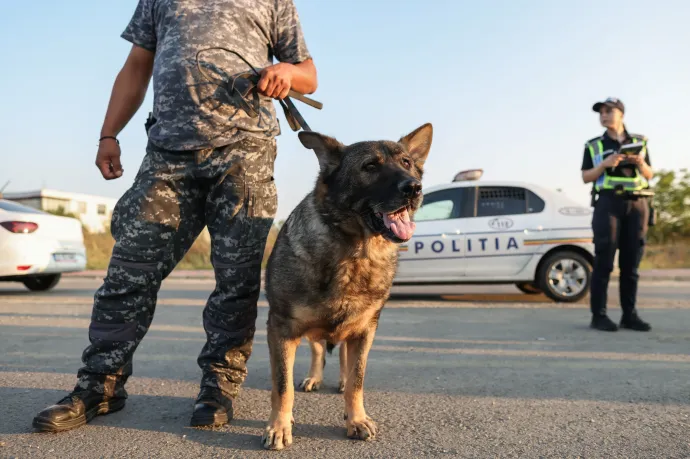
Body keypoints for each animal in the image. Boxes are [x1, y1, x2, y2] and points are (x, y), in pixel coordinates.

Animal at [262, 122, 430, 450]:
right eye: (370, 166)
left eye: (406, 163)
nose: (414, 188)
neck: (355, 253)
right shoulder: (281, 329)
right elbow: (282, 385)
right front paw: (279, 426)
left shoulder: (365, 330)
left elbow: (356, 380)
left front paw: (356, 419)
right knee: (317, 349)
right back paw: (313, 378)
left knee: (341, 357)